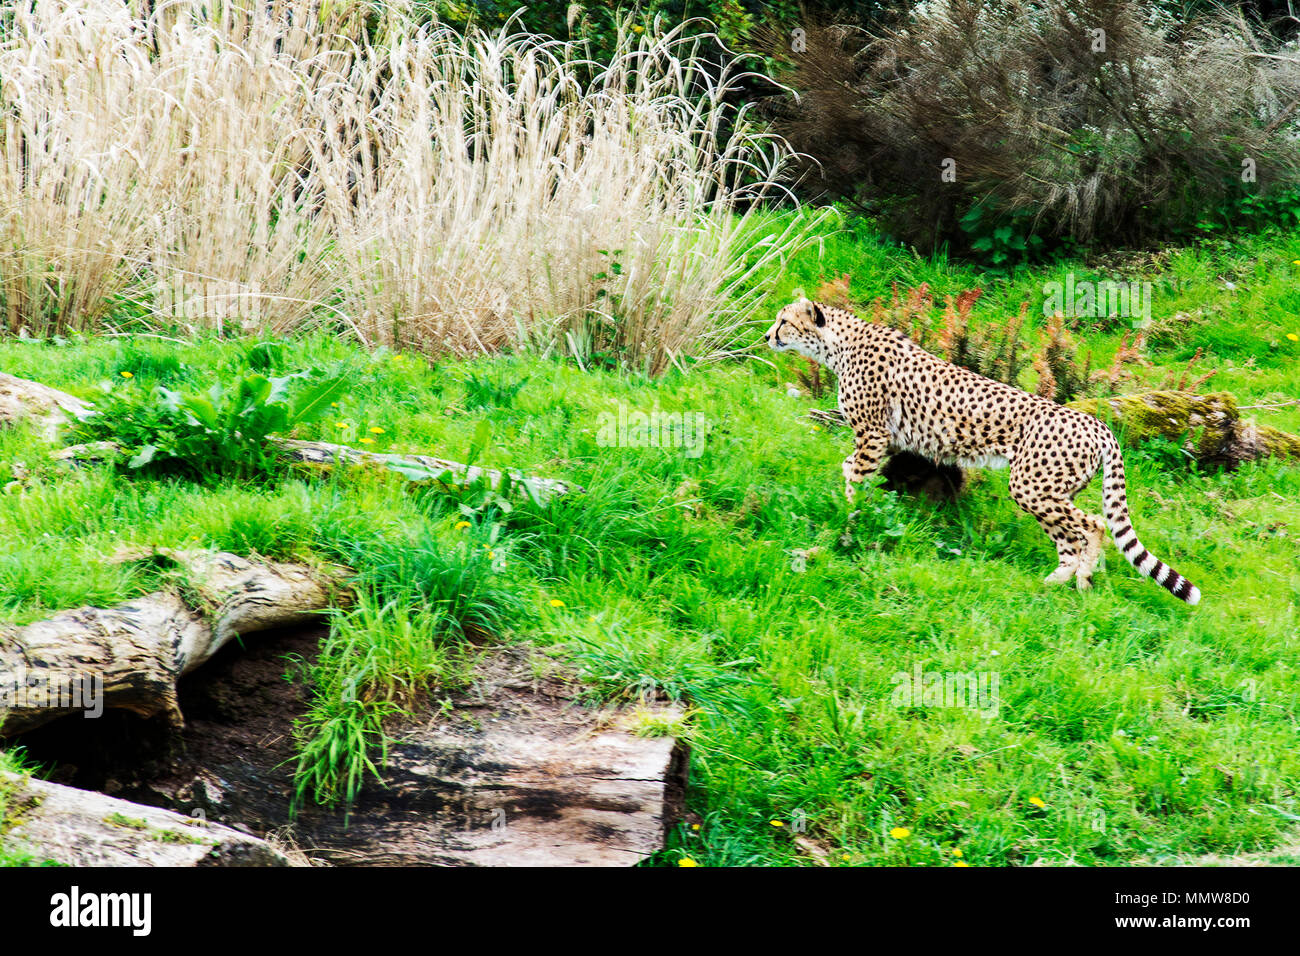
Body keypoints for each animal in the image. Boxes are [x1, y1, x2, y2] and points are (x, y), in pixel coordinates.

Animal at [764, 297, 1201, 606]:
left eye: (784, 321)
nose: (768, 336)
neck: (839, 344)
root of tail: (1098, 424)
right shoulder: (890, 441)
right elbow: (860, 471)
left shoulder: (872, 434)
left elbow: (854, 477)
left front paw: (850, 521)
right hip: (1050, 490)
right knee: (1069, 540)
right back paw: (1054, 582)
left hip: (1031, 485)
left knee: (1092, 525)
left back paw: (1082, 581)